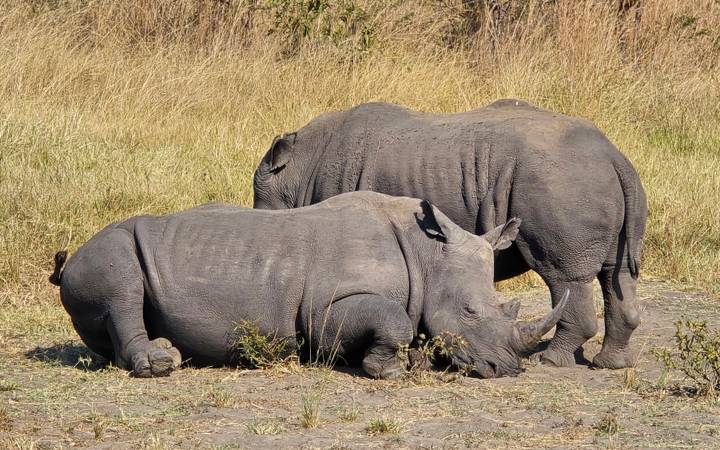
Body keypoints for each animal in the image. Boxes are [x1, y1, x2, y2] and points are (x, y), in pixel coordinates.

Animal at [49, 192, 568, 379]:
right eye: (470, 312)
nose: (508, 369)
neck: (427, 255)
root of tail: (66, 262)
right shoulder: (325, 309)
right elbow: (393, 320)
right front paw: (390, 370)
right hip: (106, 250)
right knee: (122, 285)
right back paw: (162, 365)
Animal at [253, 100, 648, 369]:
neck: (299, 169)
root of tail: (615, 157)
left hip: (560, 183)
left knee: (564, 276)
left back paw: (549, 361)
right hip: (586, 180)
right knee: (616, 274)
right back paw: (611, 364)